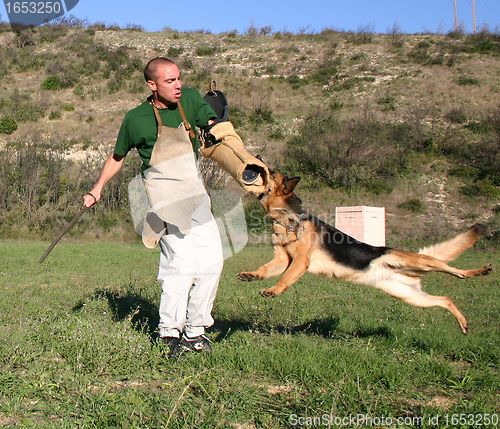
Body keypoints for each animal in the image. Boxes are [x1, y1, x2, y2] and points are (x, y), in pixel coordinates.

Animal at [237, 171, 492, 334]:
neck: (289, 220)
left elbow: (286, 278)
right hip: (411, 297)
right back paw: (463, 324)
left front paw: (273, 290)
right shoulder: (282, 259)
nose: (257, 157)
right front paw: (252, 275)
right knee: (446, 300)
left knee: (455, 271)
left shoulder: (299, 262)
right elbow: (265, 269)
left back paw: (480, 270)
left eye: (272, 172)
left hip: (423, 262)